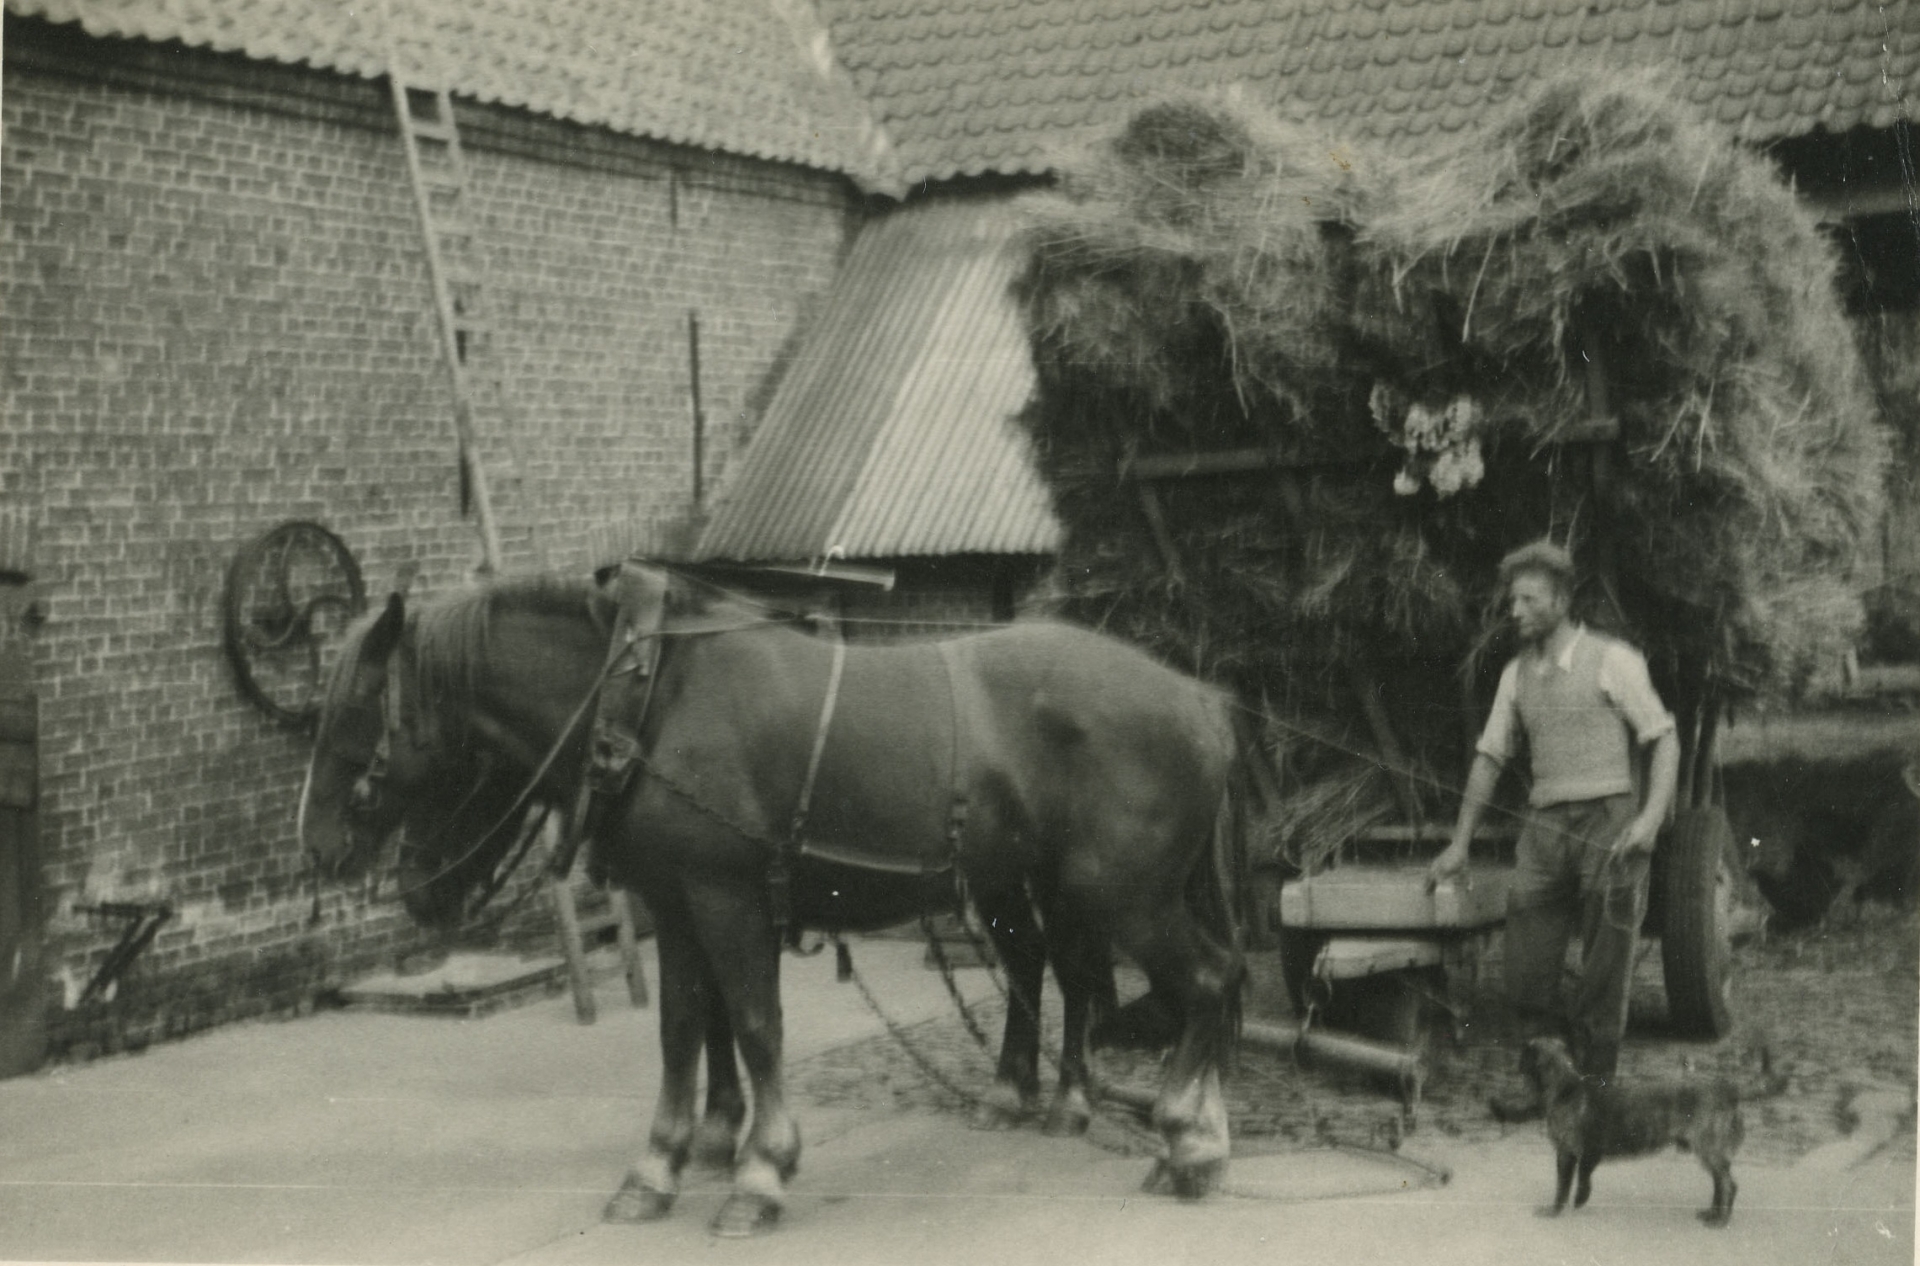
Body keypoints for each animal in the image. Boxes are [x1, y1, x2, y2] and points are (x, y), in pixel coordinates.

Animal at [303, 564, 1244, 1237]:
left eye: (357, 712)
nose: (319, 846)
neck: (650, 701)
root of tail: (1201, 699)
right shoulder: (674, 906)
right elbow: (686, 1027)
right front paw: (661, 1164)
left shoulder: (726, 900)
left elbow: (754, 1026)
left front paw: (759, 1172)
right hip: (1042, 883)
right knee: (1088, 974)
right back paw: (1106, 1112)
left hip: (1123, 893)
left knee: (1199, 981)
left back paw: (1190, 1140)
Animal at [1520, 1037, 1751, 1229]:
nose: (1518, 1062)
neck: (1565, 1088)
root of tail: (1727, 1093)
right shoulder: (1583, 1154)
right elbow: (1580, 1179)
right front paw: (1578, 1200)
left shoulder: (1567, 1152)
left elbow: (1563, 1186)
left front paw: (1554, 1210)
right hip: (1708, 1151)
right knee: (1719, 1183)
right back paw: (1712, 1214)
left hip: (1709, 1147)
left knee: (1728, 1185)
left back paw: (1720, 1220)